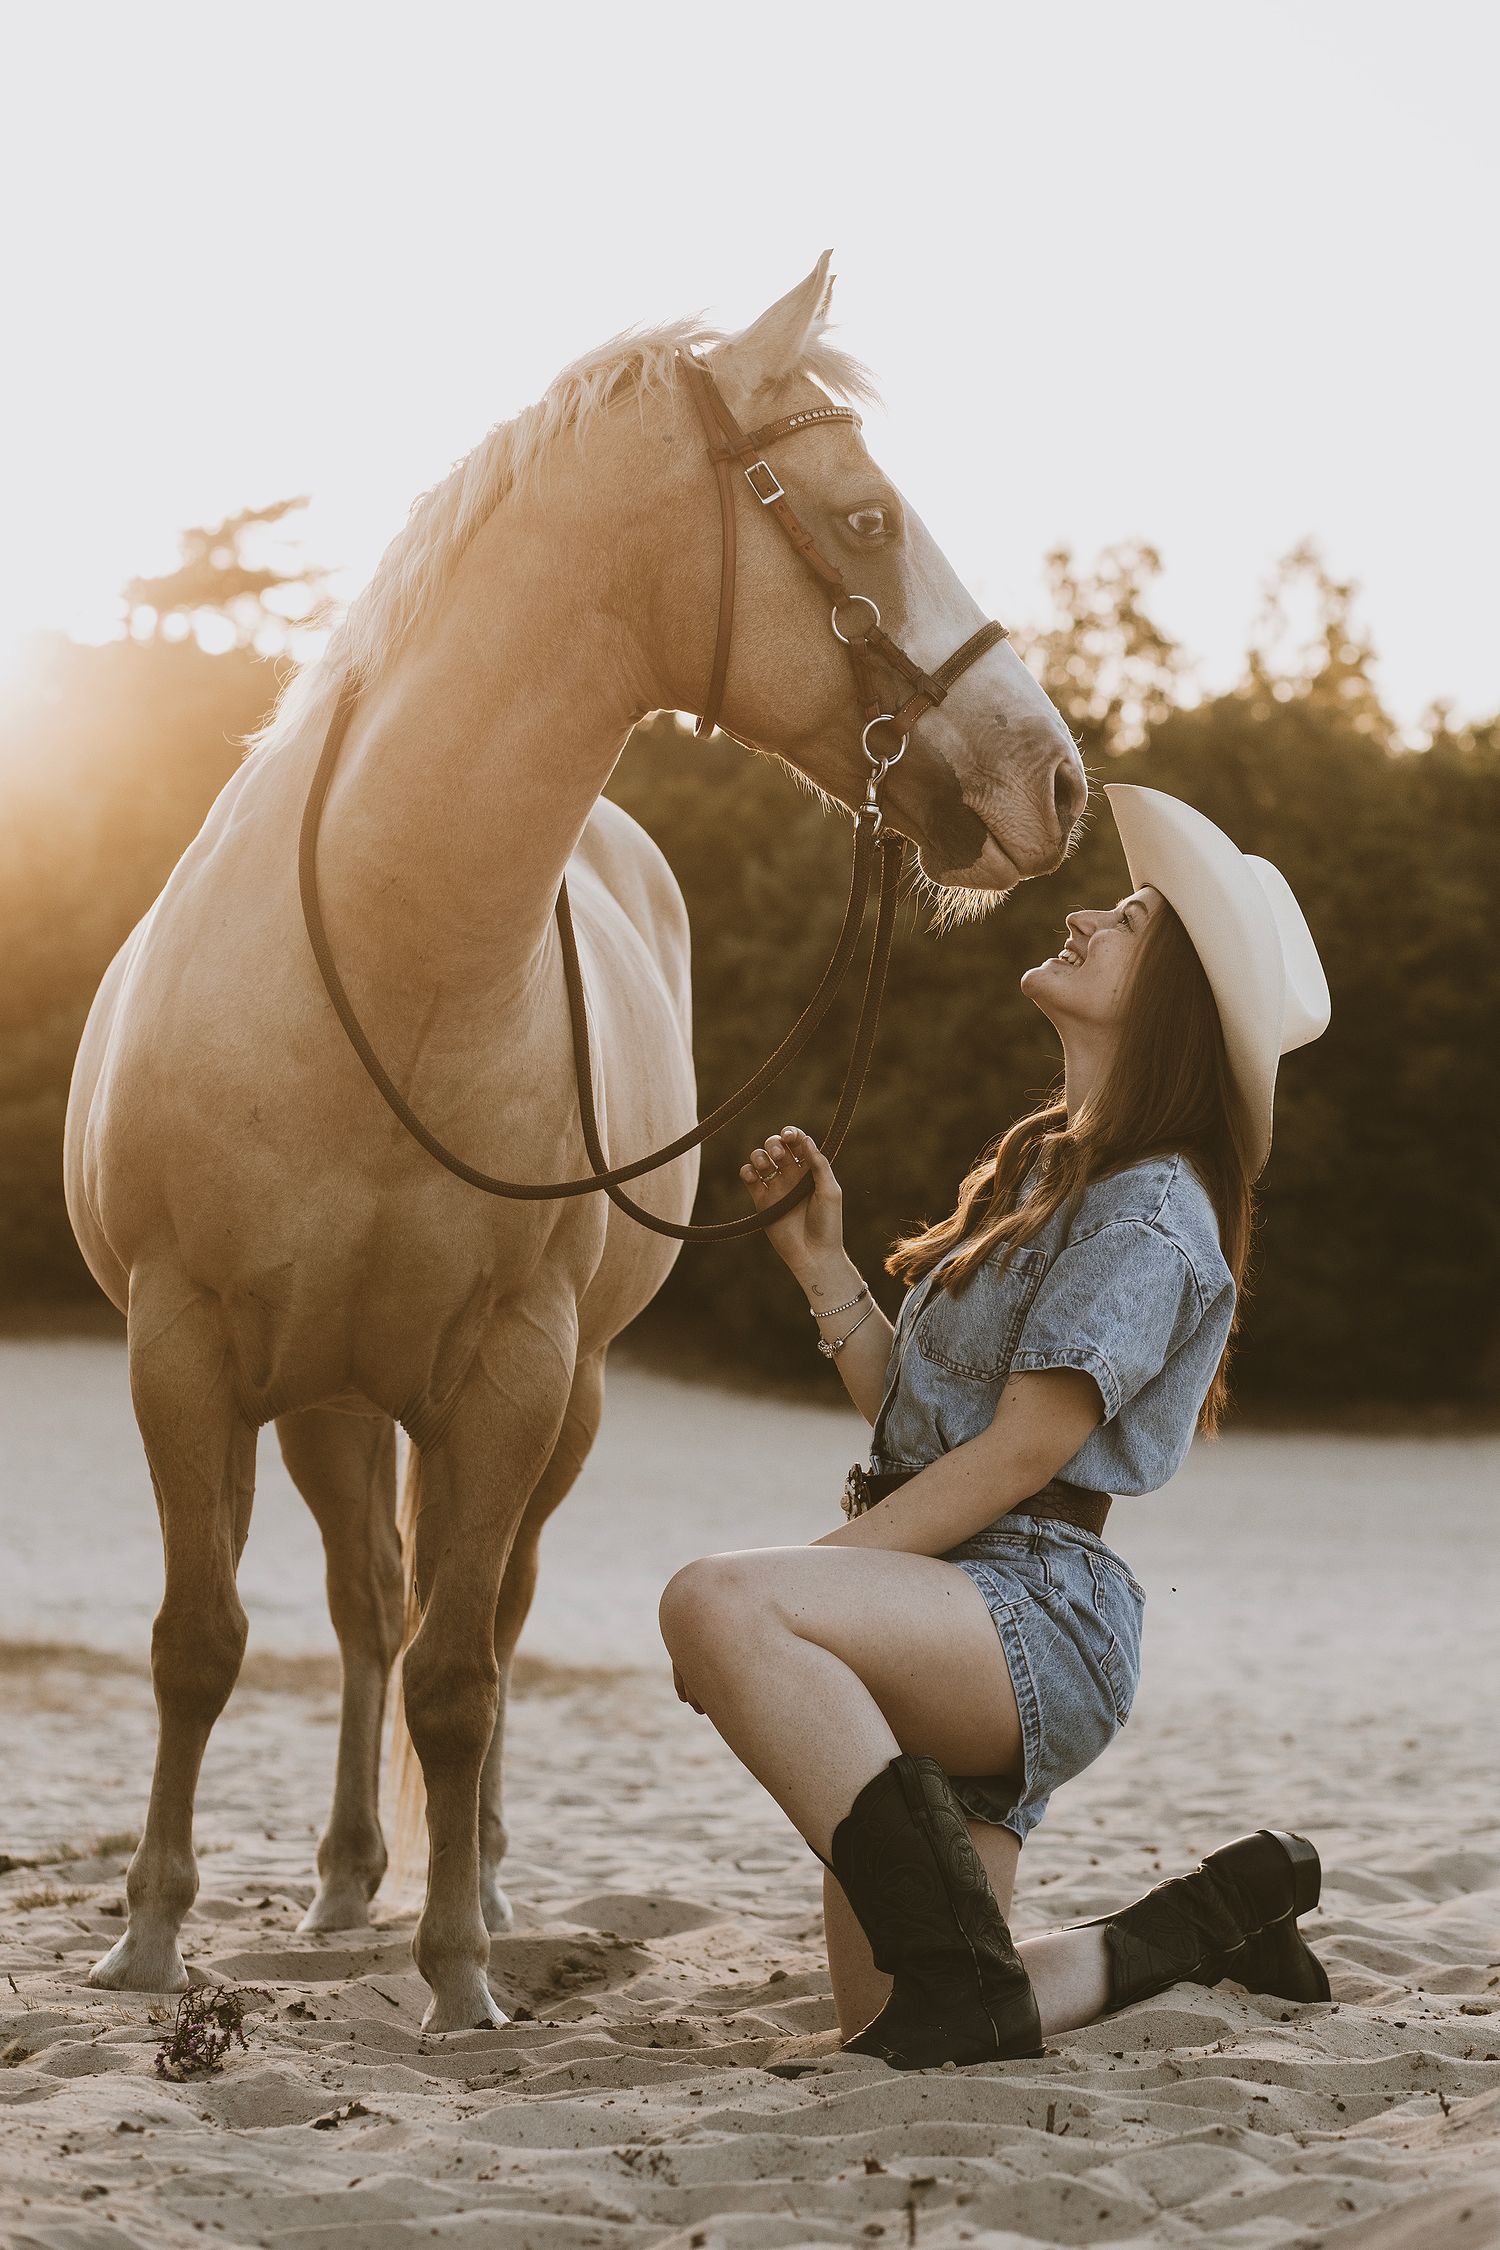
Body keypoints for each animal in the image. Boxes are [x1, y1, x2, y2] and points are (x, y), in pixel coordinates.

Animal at [63, 254, 1087, 2032]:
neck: (393, 964)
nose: (1059, 780)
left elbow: (466, 1670)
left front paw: (461, 1970)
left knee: (459, 1619)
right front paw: (148, 1935)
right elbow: (201, 1640)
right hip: (330, 1399)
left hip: (551, 1405)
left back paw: (467, 1879)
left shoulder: (511, 1373)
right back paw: (343, 1881)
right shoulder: (182, 1352)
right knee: (364, 1611)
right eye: (868, 515)